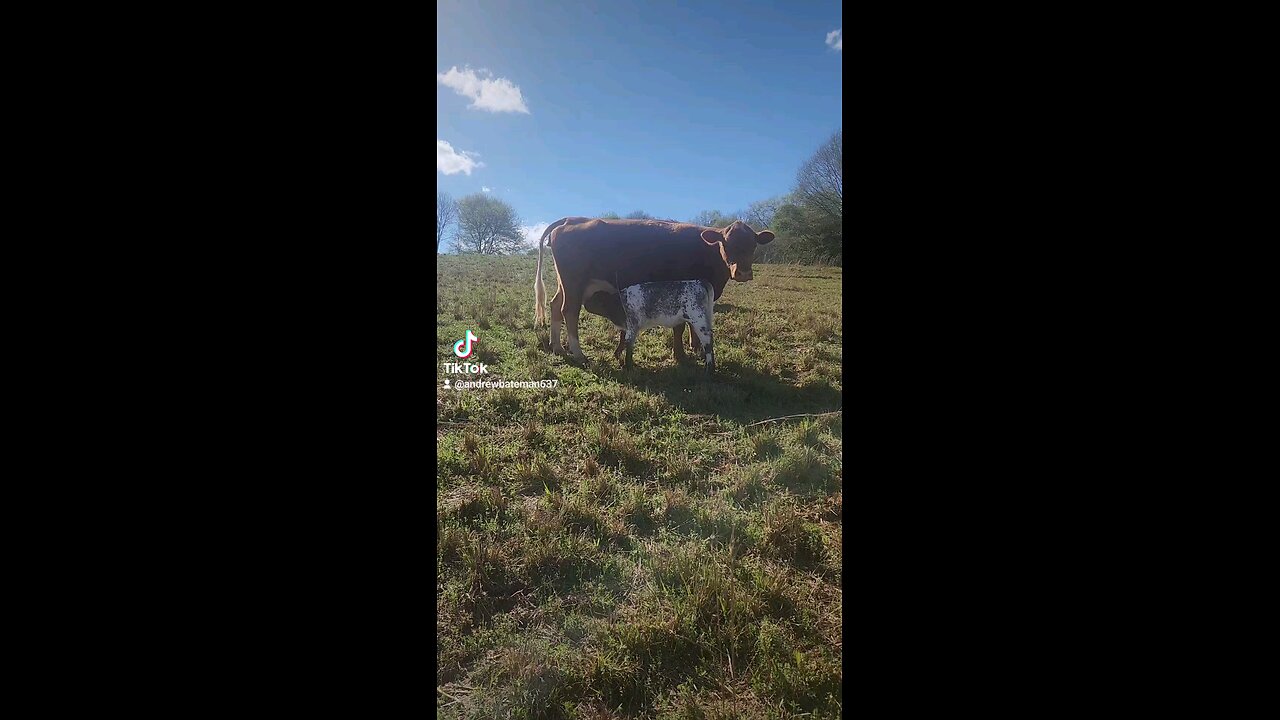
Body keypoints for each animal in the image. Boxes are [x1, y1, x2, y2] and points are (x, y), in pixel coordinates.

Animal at [535, 213, 773, 356]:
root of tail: (571, 219)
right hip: (574, 282)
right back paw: (578, 353)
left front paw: (695, 346)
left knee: (555, 305)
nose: (742, 273)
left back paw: (557, 347)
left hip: (566, 284)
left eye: (753, 245)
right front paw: (681, 353)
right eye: (726, 243)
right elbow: (680, 325)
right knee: (569, 310)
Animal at [586, 279, 716, 371]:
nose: (585, 304)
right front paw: (618, 357)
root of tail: (700, 282)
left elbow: (628, 344)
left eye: (596, 298)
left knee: (707, 342)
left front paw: (628, 366)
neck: (620, 302)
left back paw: (709, 368)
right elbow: (622, 341)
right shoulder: (627, 327)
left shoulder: (632, 326)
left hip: (699, 321)